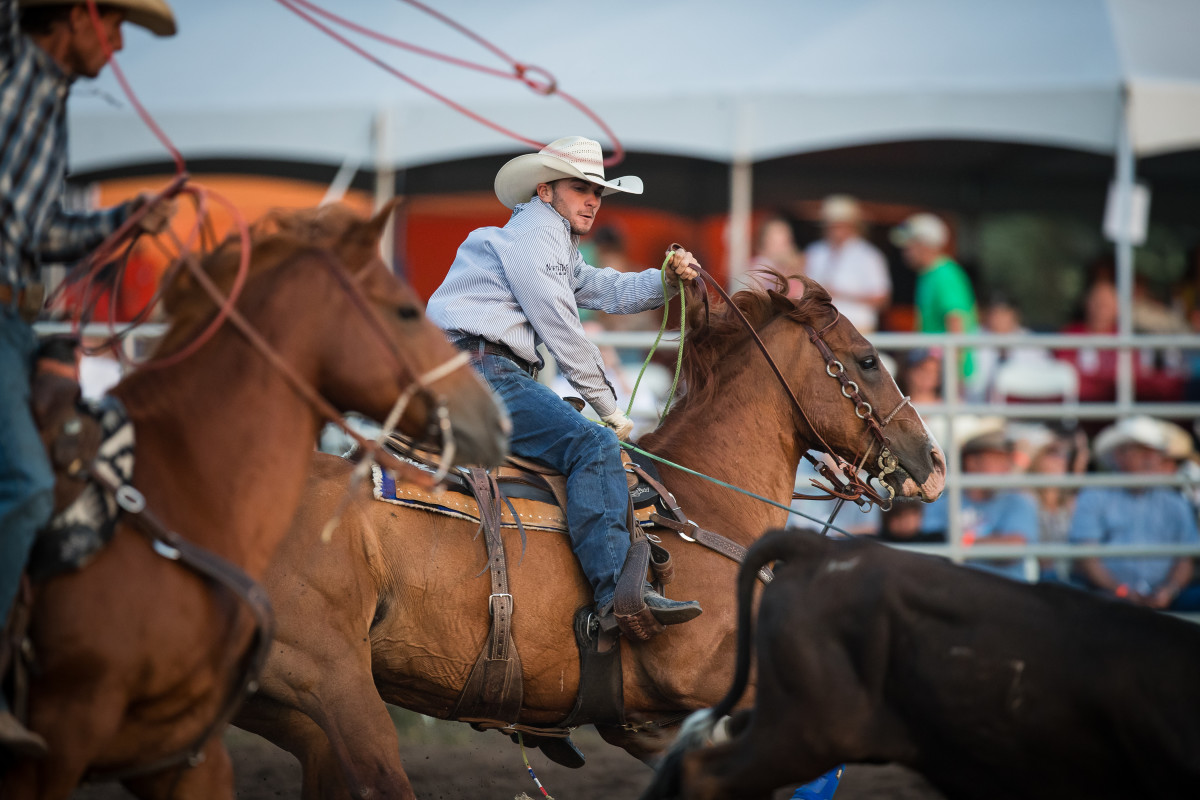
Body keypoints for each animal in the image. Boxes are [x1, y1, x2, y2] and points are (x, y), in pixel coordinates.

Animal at [234, 273, 945, 796]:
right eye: (867, 360)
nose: (933, 463)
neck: (703, 507)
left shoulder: (646, 724)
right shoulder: (718, 685)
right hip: (337, 690)